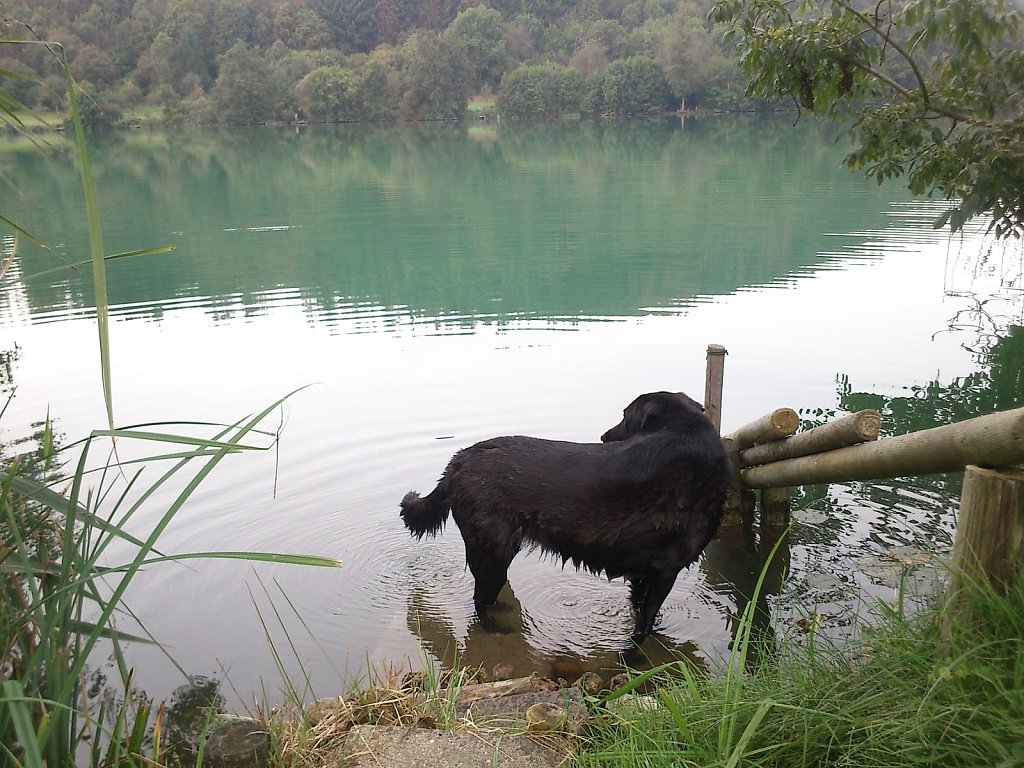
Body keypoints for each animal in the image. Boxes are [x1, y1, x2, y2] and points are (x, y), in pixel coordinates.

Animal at [397, 391, 729, 643]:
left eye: (625, 416)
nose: (603, 436)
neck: (688, 434)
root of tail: (459, 459)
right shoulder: (665, 571)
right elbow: (643, 626)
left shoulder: (645, 574)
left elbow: (641, 615)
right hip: (493, 553)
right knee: (478, 602)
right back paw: (494, 627)